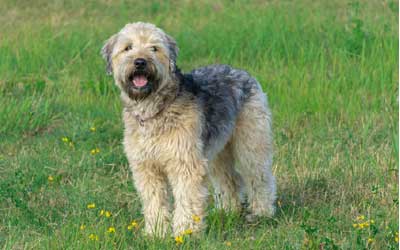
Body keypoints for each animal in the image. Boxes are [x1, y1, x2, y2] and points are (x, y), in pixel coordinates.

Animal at [101, 22, 276, 237]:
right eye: (128, 48)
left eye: (154, 48)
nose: (140, 62)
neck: (155, 110)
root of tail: (243, 73)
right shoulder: (146, 167)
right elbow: (154, 201)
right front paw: (156, 233)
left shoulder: (185, 161)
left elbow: (187, 199)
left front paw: (186, 233)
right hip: (217, 151)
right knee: (231, 179)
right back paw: (227, 211)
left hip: (251, 142)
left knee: (259, 177)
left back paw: (262, 212)